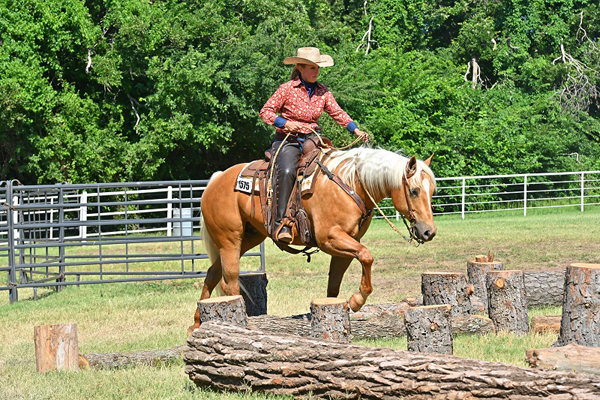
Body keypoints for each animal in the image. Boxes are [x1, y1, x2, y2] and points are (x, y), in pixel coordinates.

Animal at [188, 147, 436, 334]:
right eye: (414, 191)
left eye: (432, 190)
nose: (429, 232)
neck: (350, 183)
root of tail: (216, 180)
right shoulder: (330, 238)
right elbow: (367, 256)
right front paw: (356, 300)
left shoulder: (345, 245)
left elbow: (334, 286)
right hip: (230, 239)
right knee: (228, 281)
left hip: (246, 239)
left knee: (212, 274)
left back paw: (197, 324)